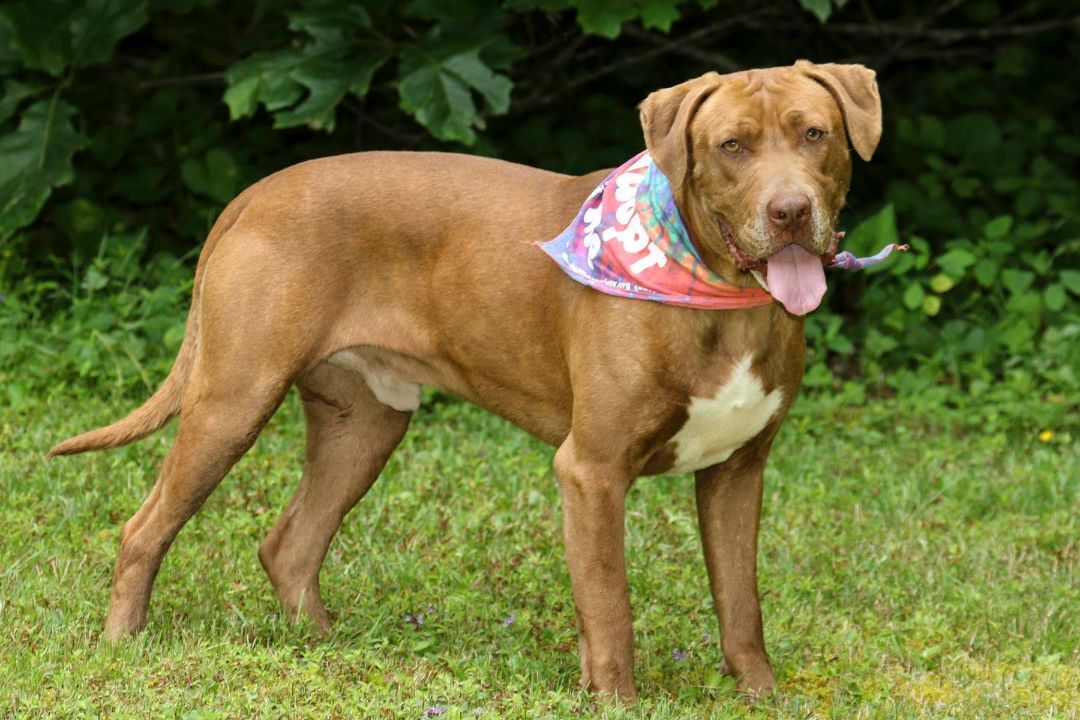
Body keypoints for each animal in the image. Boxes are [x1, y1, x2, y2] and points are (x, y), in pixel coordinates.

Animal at [48, 62, 876, 703]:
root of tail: (253, 194)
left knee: (289, 544)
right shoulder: (593, 470)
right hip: (233, 400)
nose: (791, 211)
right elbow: (611, 609)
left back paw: (324, 647)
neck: (728, 302)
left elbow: (741, 607)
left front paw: (762, 697)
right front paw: (616, 700)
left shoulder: (738, 471)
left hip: (365, 422)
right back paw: (122, 646)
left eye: (814, 134)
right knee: (144, 528)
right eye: (732, 146)